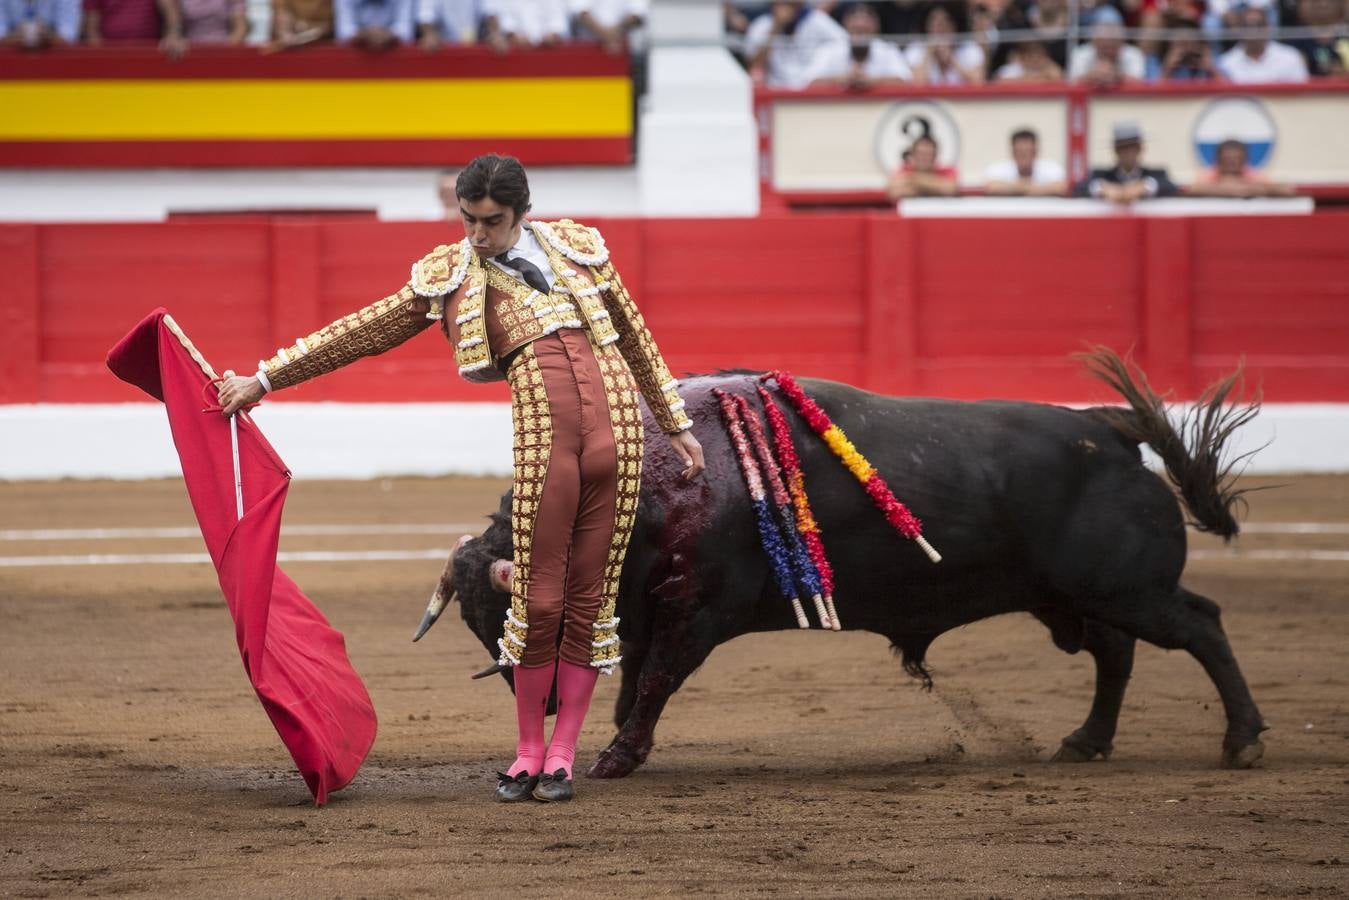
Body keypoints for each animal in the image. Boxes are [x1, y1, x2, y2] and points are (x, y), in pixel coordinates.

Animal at [428, 350, 1262, 782]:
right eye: (477, 625)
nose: (532, 702)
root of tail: (1112, 431)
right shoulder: (651, 608)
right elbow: (635, 678)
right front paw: (614, 744)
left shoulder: (697, 611)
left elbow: (655, 680)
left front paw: (617, 756)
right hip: (1072, 598)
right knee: (1116, 652)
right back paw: (1086, 741)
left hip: (1125, 587)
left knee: (1200, 626)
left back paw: (1242, 740)